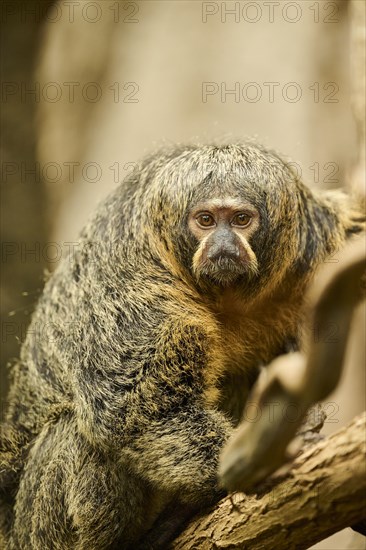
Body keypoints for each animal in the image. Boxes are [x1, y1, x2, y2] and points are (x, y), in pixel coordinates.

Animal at [0, 142, 364, 548]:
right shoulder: (128, 280)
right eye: (205, 220)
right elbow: (134, 410)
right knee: (76, 434)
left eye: (241, 219)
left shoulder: (318, 240)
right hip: (34, 531)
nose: (223, 245)